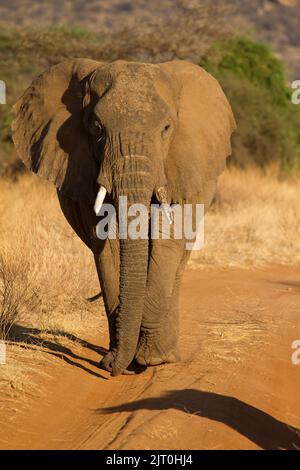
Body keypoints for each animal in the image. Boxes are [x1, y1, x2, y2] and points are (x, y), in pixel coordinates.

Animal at [12, 58, 237, 376]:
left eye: (166, 128)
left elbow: (168, 239)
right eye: (96, 128)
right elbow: (108, 246)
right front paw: (123, 357)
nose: (109, 366)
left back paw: (164, 356)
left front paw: (150, 360)